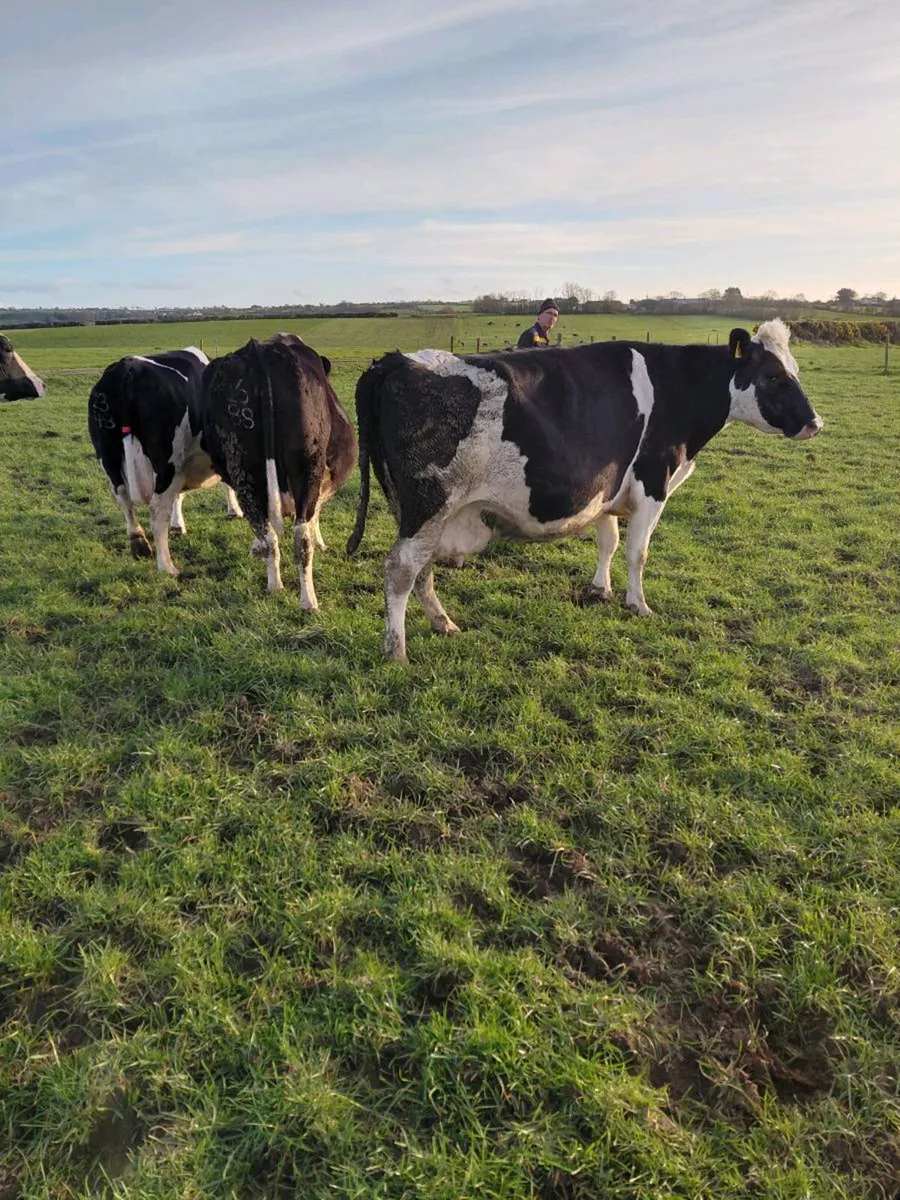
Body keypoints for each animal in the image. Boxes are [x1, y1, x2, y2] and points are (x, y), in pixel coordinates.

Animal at [88, 347, 243, 574]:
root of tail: (126, 369)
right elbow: (225, 484)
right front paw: (234, 512)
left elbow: (179, 495)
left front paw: (178, 526)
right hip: (166, 463)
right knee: (157, 508)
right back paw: (167, 566)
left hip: (108, 456)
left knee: (123, 497)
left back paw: (139, 542)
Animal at [199, 333, 357, 610]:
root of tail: (257, 351)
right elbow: (315, 514)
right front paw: (321, 542)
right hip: (306, 468)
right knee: (301, 537)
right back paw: (308, 601)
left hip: (242, 469)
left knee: (265, 533)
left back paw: (274, 586)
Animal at [346, 319, 823, 662]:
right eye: (774, 376)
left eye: (795, 371)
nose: (815, 423)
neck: (679, 387)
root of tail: (396, 362)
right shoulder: (653, 482)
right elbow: (637, 552)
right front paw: (638, 605)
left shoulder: (607, 490)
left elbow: (608, 541)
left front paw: (600, 589)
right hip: (429, 504)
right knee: (400, 570)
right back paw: (397, 652)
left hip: (416, 510)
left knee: (420, 569)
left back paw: (443, 623)